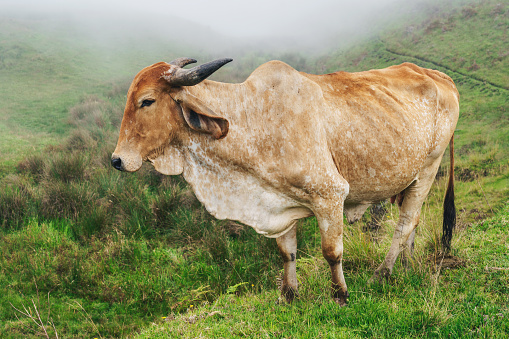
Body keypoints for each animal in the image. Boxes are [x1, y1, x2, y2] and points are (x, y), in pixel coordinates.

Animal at [113, 57, 458, 306]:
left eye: (146, 101)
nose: (117, 160)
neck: (253, 122)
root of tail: (440, 76)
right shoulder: (278, 203)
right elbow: (287, 252)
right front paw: (289, 295)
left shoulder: (330, 195)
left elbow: (331, 251)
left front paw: (340, 294)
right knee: (412, 224)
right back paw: (407, 265)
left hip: (429, 168)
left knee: (405, 223)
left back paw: (383, 273)